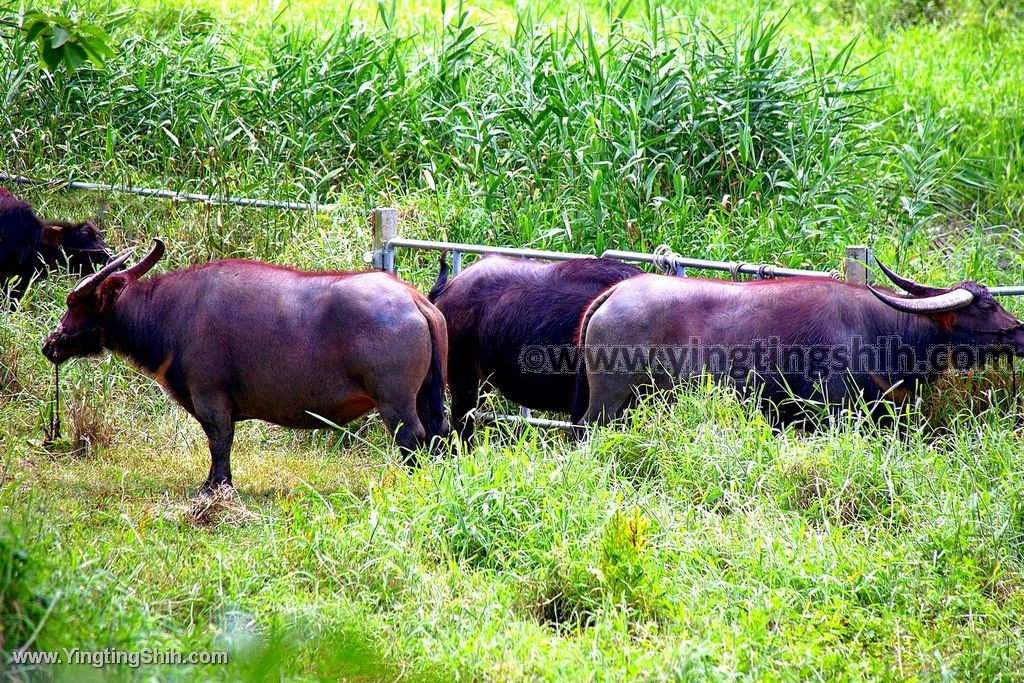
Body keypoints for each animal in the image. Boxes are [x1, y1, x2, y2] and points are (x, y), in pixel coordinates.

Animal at [40, 240, 448, 491]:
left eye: (74, 303)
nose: (49, 344)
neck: (171, 314)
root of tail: (414, 299)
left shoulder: (210, 398)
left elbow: (219, 441)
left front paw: (216, 487)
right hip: (427, 396)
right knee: (438, 435)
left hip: (395, 401)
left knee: (412, 438)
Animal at [573, 264, 1024, 428]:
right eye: (988, 305)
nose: (1021, 332)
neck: (881, 327)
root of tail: (615, 293)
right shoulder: (836, 411)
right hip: (608, 404)